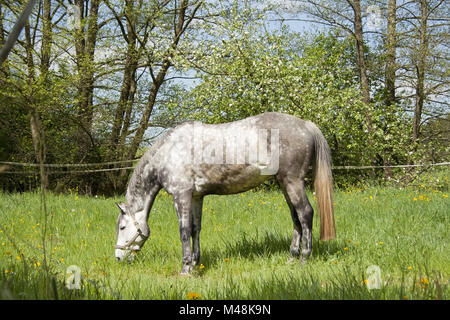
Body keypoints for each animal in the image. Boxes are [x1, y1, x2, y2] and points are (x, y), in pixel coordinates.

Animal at [114, 112, 336, 276]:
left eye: (123, 227)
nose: (118, 257)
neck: (169, 153)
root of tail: (306, 125)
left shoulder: (181, 195)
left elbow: (184, 232)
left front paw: (185, 269)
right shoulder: (196, 197)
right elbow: (195, 229)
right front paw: (195, 264)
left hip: (292, 182)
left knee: (305, 213)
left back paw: (304, 259)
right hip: (285, 184)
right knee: (295, 218)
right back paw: (291, 258)